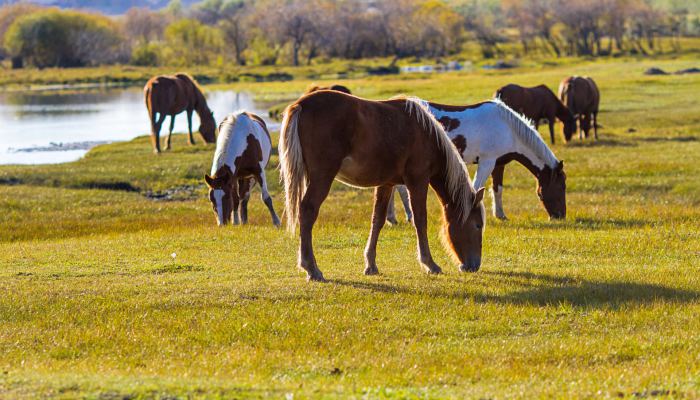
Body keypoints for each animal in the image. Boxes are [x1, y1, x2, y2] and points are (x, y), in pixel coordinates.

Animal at [276, 92, 484, 282]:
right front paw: (430, 264)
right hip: (322, 176)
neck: (425, 133)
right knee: (308, 210)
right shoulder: (417, 181)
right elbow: (420, 220)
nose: (474, 266)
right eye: (478, 225)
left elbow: (378, 220)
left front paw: (371, 264)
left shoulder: (386, 183)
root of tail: (301, 104)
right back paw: (311, 268)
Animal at [388, 97, 564, 222]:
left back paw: (392, 218)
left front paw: (501, 215)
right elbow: (476, 187)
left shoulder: (498, 164)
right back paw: (408, 216)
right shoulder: (487, 162)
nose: (560, 216)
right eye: (561, 187)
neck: (507, 127)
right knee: (401, 189)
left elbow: (497, 189)